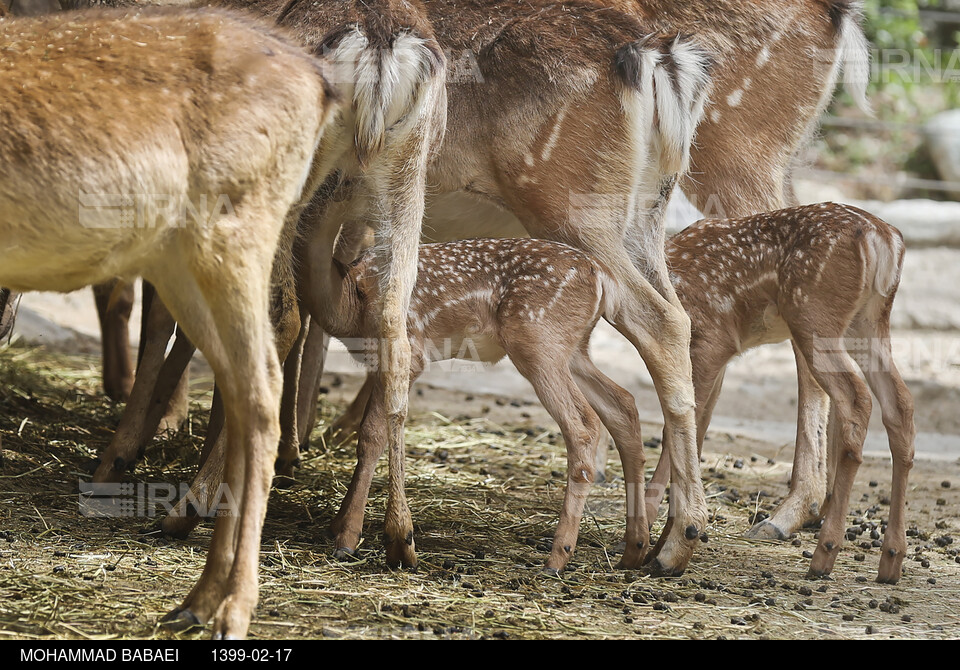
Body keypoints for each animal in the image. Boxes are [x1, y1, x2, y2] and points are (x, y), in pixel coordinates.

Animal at [648, 203, 912, 584]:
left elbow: (676, 429)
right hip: (869, 321)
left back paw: (823, 554)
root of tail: (885, 237)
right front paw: (663, 540)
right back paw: (891, 561)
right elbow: (696, 429)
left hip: (814, 315)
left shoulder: (712, 338)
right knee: (901, 405)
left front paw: (662, 548)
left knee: (856, 399)